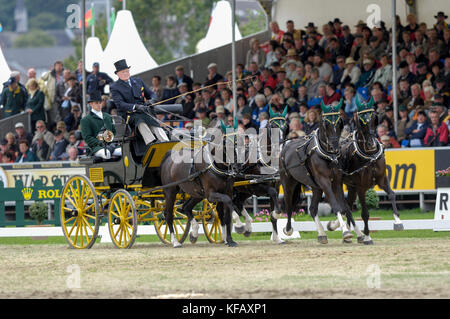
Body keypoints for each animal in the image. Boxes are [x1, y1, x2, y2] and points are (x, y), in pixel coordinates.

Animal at [278, 100, 352, 245]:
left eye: (339, 122)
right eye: (326, 123)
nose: (335, 147)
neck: (328, 156)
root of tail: (285, 146)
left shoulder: (336, 182)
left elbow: (344, 208)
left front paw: (333, 226)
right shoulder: (325, 182)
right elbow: (336, 206)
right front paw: (345, 232)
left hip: (315, 186)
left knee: (312, 209)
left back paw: (322, 234)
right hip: (288, 183)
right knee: (288, 205)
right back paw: (288, 230)